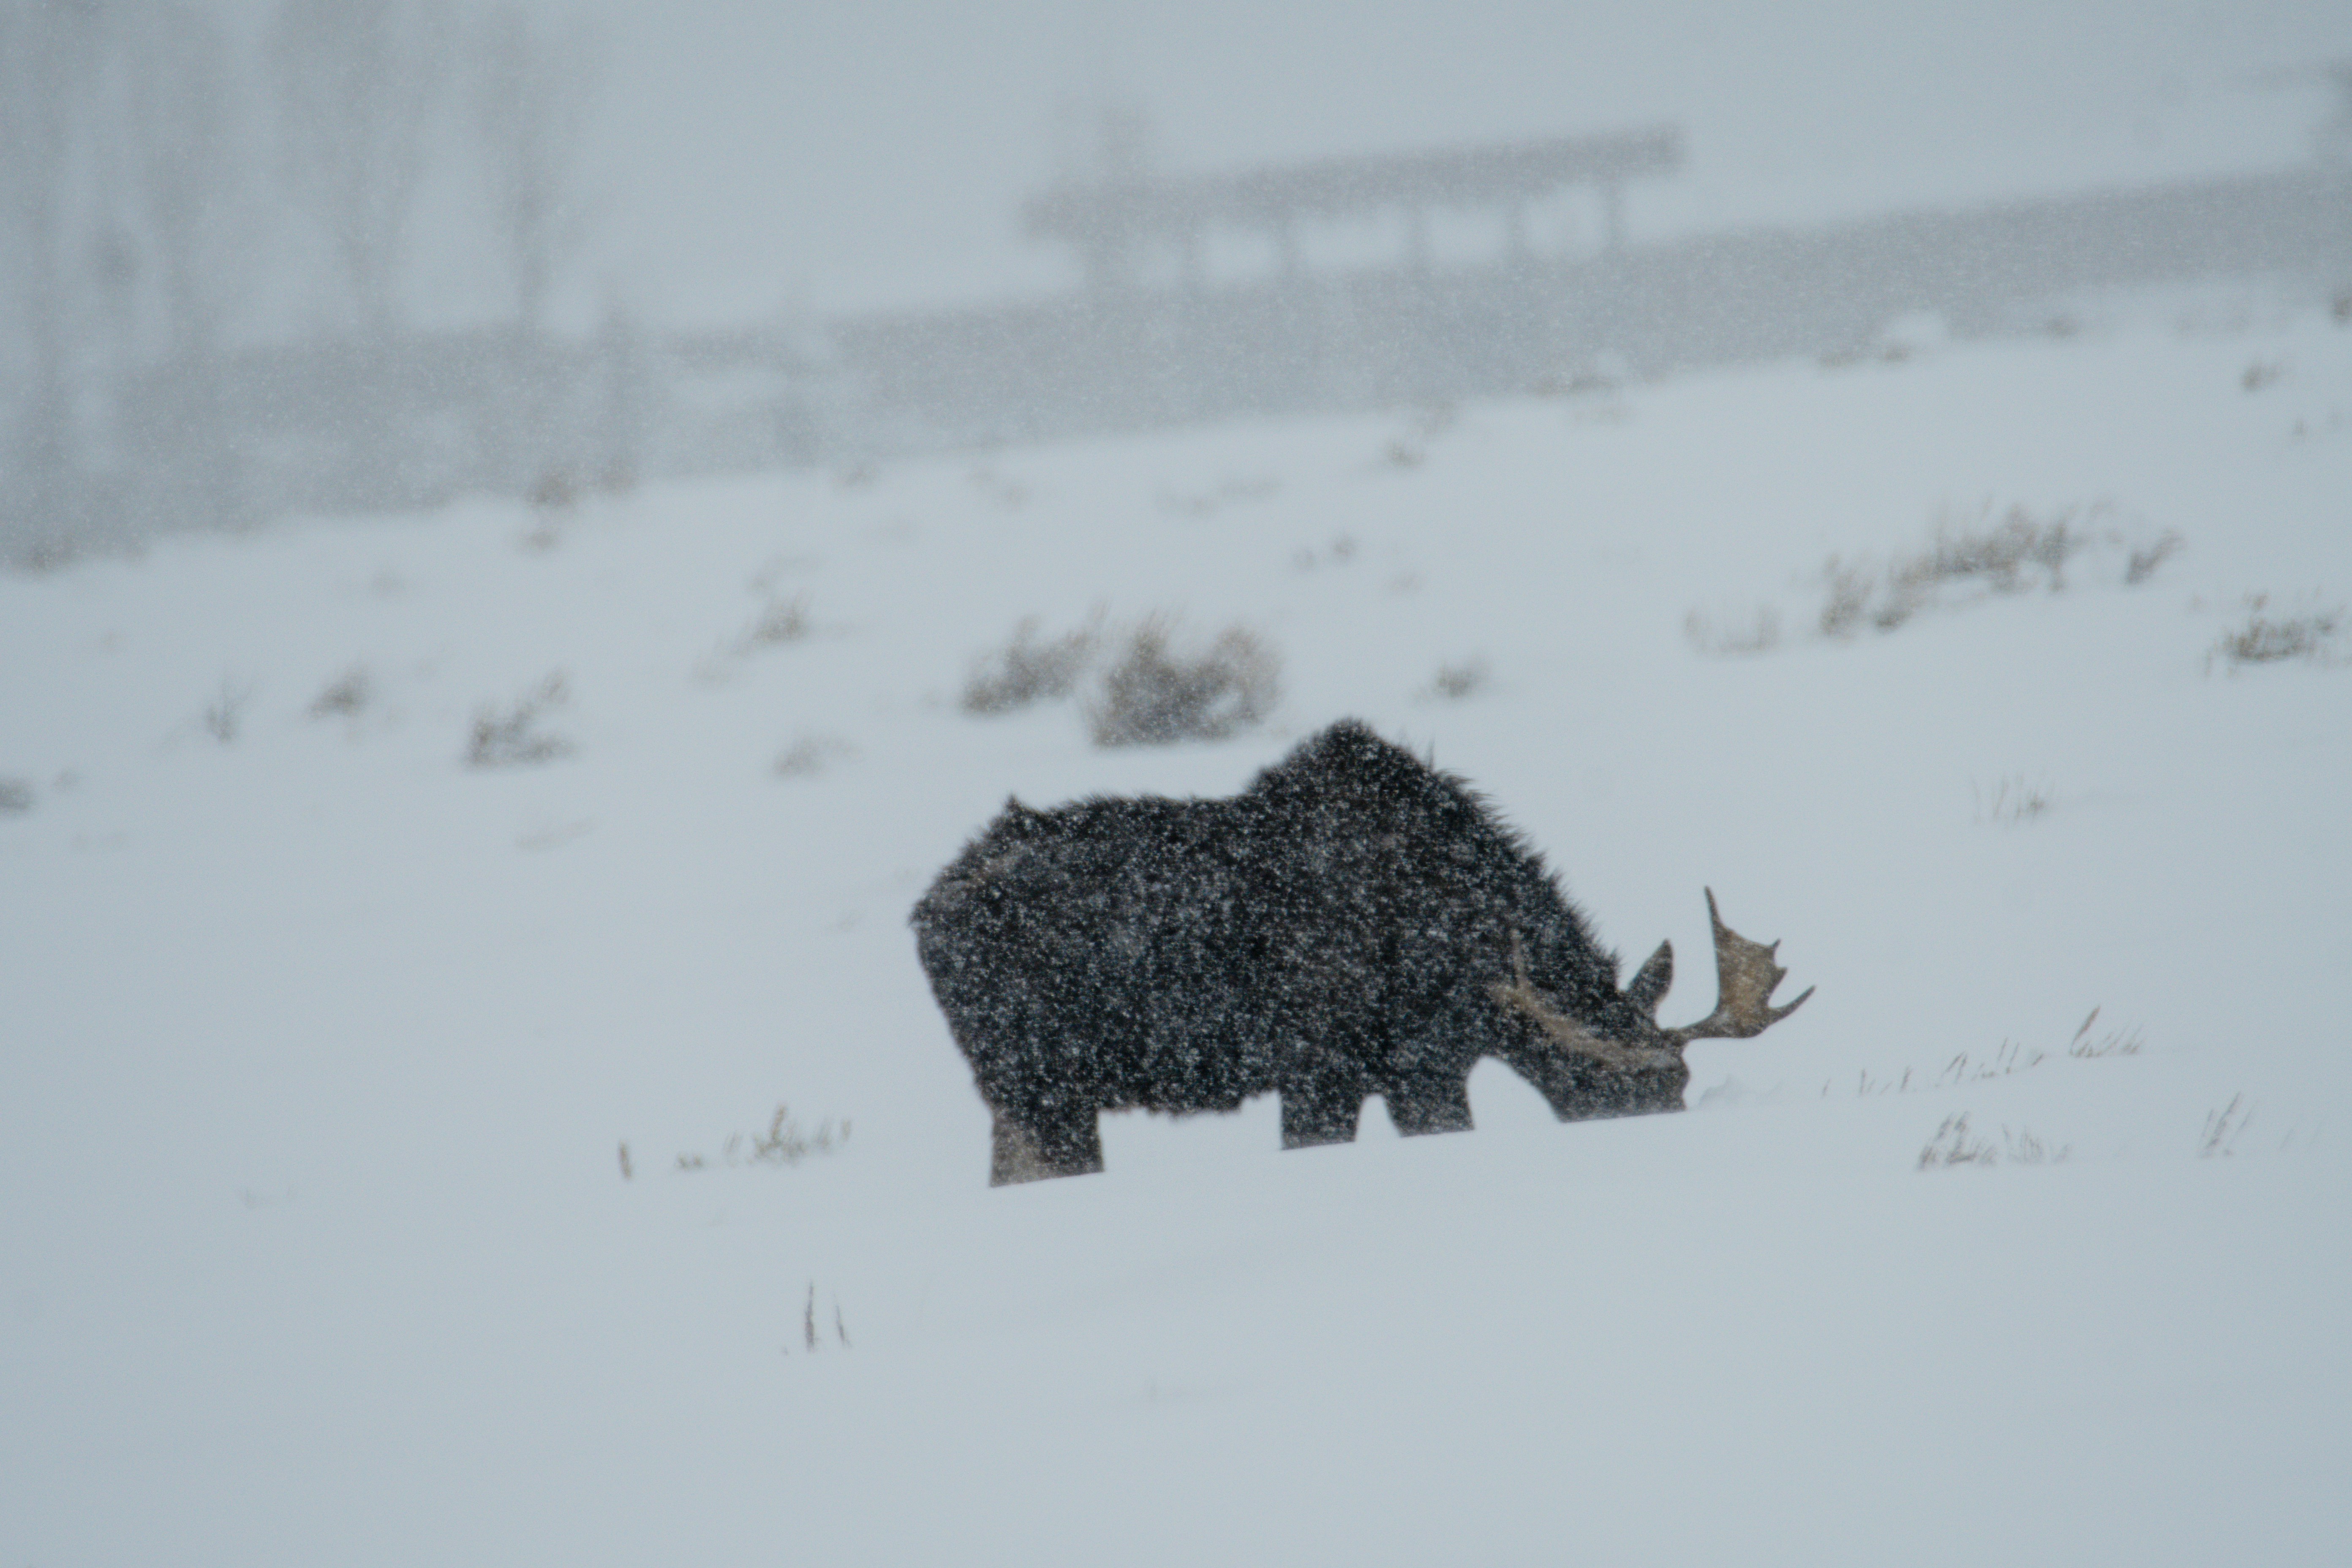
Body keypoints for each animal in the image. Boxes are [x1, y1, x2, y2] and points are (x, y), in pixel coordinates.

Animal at [912, 720, 1810, 1184]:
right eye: (1606, 1089)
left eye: (1679, 1083)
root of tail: (922, 910)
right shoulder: (1335, 1069)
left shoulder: (1418, 1070)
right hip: (1037, 1085)